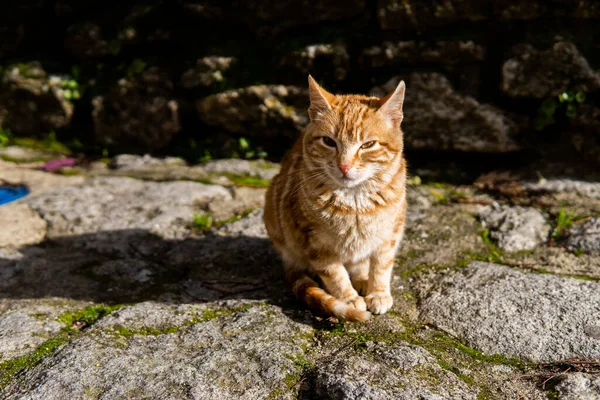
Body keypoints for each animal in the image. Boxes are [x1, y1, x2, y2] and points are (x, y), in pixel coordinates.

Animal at [264, 76, 408, 322]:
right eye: (329, 142)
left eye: (368, 145)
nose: (344, 166)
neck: (355, 201)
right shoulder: (315, 242)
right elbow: (335, 274)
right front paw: (349, 300)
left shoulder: (390, 233)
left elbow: (381, 265)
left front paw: (378, 293)